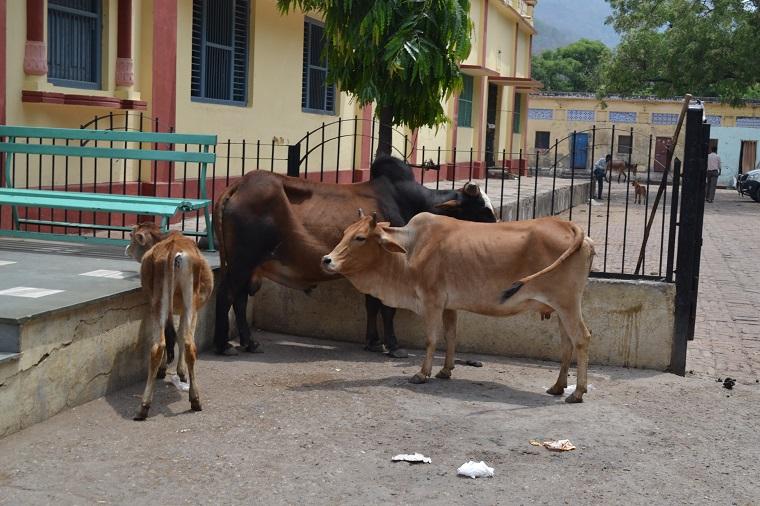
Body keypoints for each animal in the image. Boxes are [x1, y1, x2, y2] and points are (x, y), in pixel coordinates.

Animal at [125, 223, 214, 422]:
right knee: (184, 343)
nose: (126, 248)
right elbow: (178, 335)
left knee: (163, 343)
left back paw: (145, 406)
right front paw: (180, 372)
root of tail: (174, 249)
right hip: (188, 302)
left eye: (131, 236)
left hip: (161, 300)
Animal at [324, 211, 596, 402]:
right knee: (567, 343)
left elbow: (431, 339)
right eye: (345, 232)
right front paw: (446, 370)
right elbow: (451, 335)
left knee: (581, 338)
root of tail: (569, 226)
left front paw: (422, 374)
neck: (409, 250)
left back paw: (577, 392)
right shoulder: (448, 306)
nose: (327, 260)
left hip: (567, 304)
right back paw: (558, 386)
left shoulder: (431, 300)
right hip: (560, 308)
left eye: (360, 238)